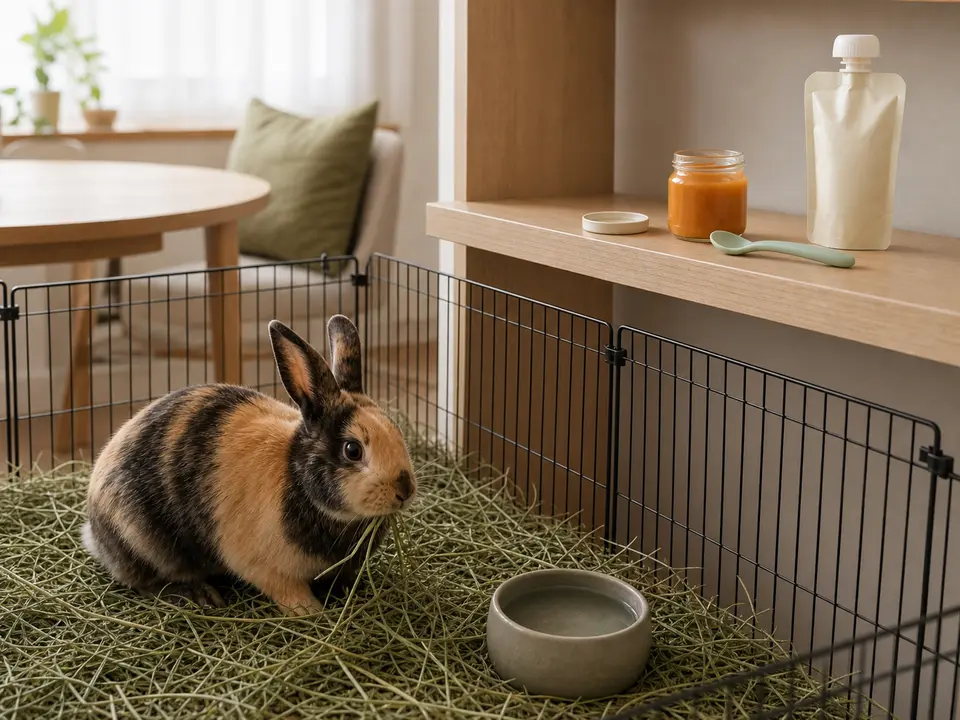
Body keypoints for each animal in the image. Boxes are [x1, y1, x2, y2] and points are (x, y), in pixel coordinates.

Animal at [82, 315, 416, 616]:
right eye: (352, 450)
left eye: (397, 431)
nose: (405, 490)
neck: (297, 478)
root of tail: (94, 532)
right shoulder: (264, 568)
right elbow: (290, 594)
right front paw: (314, 612)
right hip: (141, 541)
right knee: (146, 583)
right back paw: (200, 595)